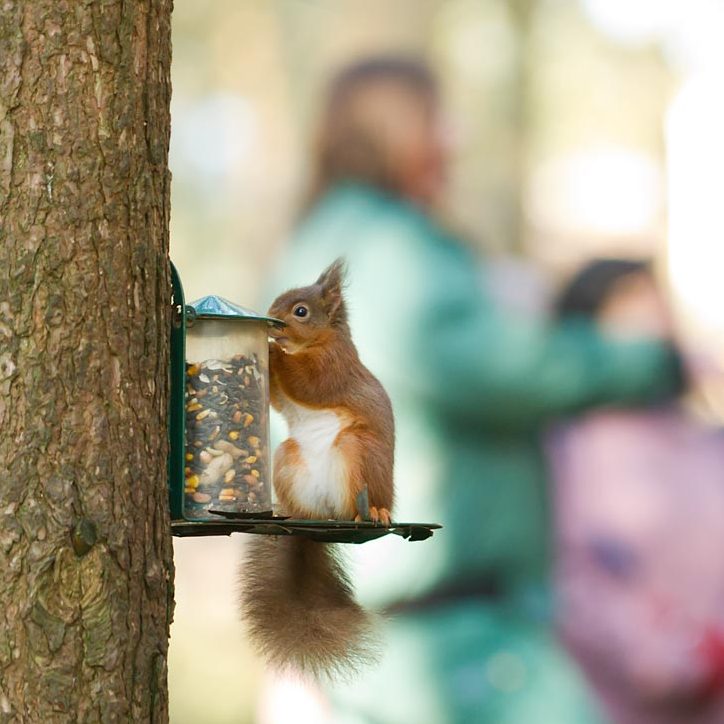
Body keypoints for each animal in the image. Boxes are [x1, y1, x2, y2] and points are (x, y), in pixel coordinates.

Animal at [239, 259, 395, 679]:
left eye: (300, 311)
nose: (272, 320)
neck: (315, 343)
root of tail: (322, 519)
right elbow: (280, 398)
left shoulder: (335, 366)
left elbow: (309, 384)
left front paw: (273, 350)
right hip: (287, 458)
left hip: (357, 452)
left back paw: (376, 511)